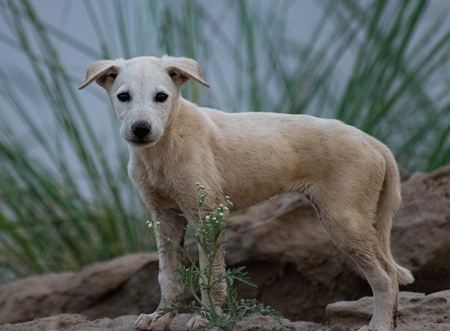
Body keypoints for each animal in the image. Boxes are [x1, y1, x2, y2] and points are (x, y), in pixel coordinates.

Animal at [80, 55, 414, 330]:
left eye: (161, 97)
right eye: (123, 97)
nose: (141, 129)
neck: (166, 144)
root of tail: (374, 143)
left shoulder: (209, 214)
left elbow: (210, 275)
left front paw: (208, 319)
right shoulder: (165, 217)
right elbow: (168, 276)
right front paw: (160, 319)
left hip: (343, 218)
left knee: (384, 278)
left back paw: (378, 326)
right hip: (355, 219)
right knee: (390, 273)